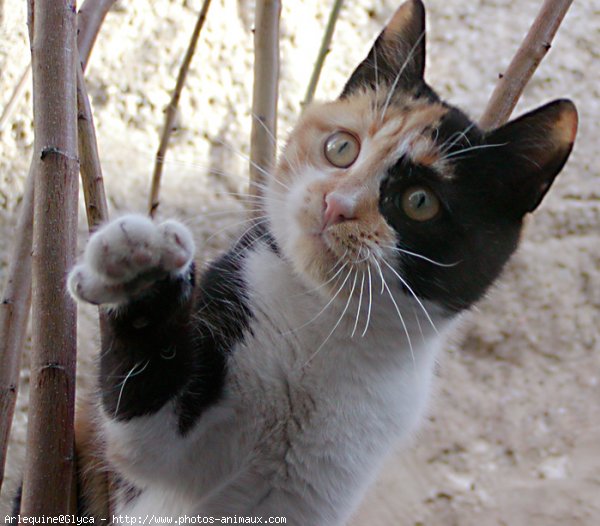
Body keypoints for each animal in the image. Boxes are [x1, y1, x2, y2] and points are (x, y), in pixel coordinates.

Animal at [63, 0, 576, 524]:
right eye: (341, 147)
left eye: (420, 201)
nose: (336, 204)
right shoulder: (154, 456)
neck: (324, 326)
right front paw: (141, 274)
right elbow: (142, 434)